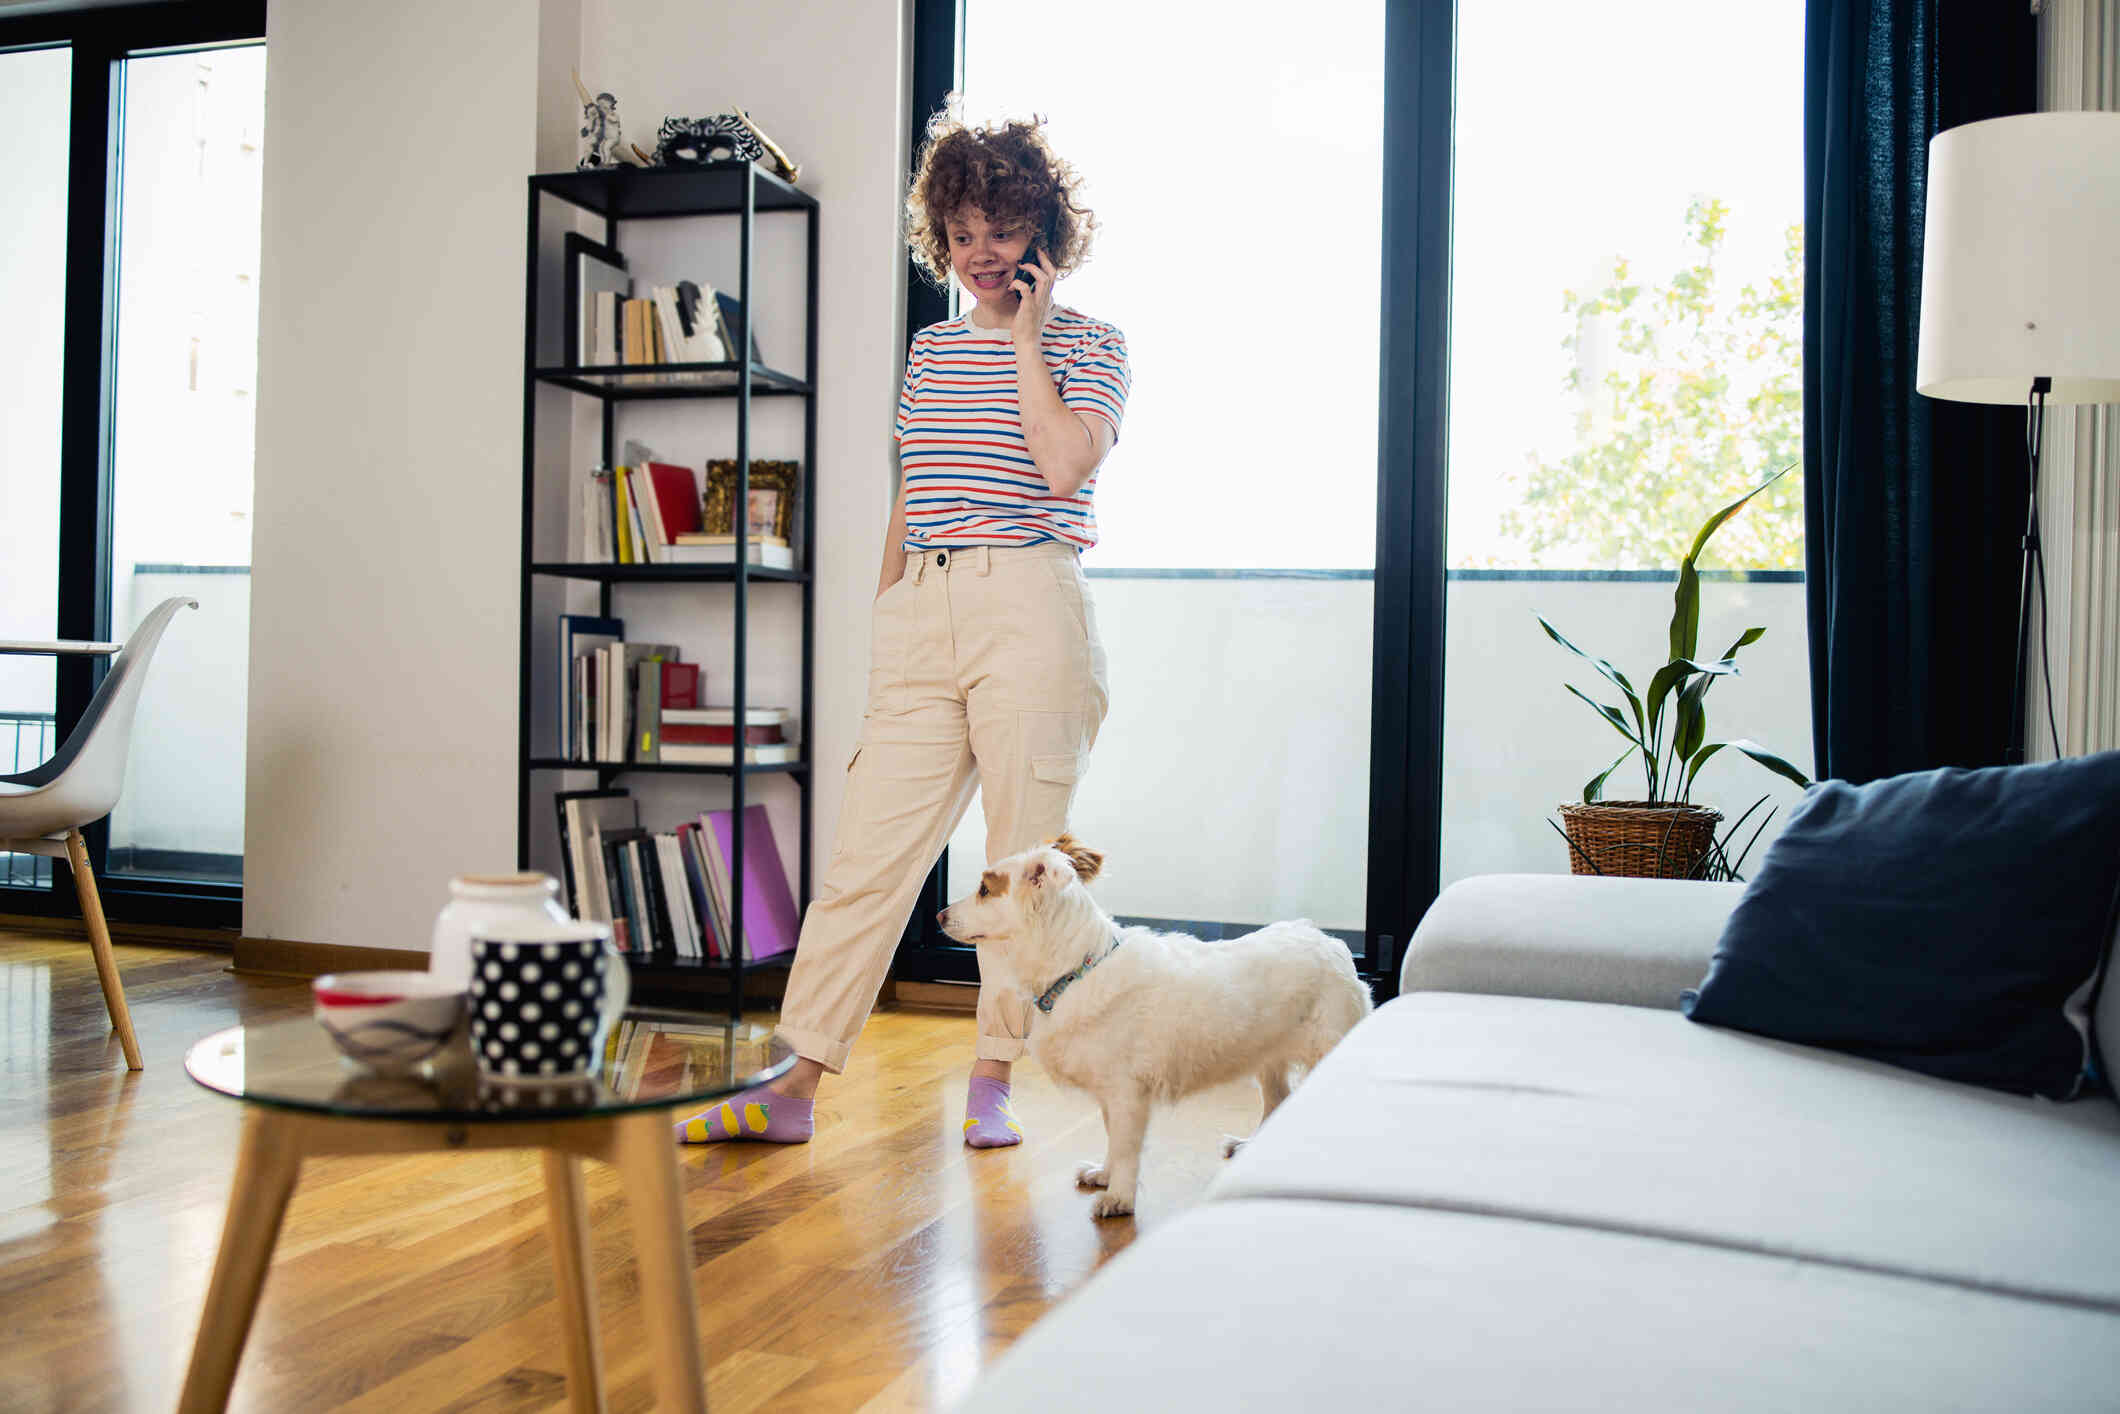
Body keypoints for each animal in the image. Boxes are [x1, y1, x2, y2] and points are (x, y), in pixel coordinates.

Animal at [932, 835, 1365, 1221]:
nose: (938, 916)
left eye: (985, 890)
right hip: (1269, 1057)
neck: (1079, 967)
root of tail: (1332, 944)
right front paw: (1105, 1175)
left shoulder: (1127, 1093)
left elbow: (1126, 1147)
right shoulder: (1110, 1094)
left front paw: (1119, 1198)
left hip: (1326, 1049)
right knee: (1278, 1100)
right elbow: (1112, 1138)